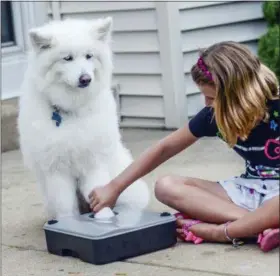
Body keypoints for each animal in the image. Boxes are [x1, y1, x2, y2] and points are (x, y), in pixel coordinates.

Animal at [17, 17, 150, 220]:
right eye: (67, 58)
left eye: (89, 56)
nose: (85, 79)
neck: (71, 109)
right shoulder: (57, 170)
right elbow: (65, 206)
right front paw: (68, 223)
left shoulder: (93, 162)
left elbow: (99, 195)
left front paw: (105, 219)